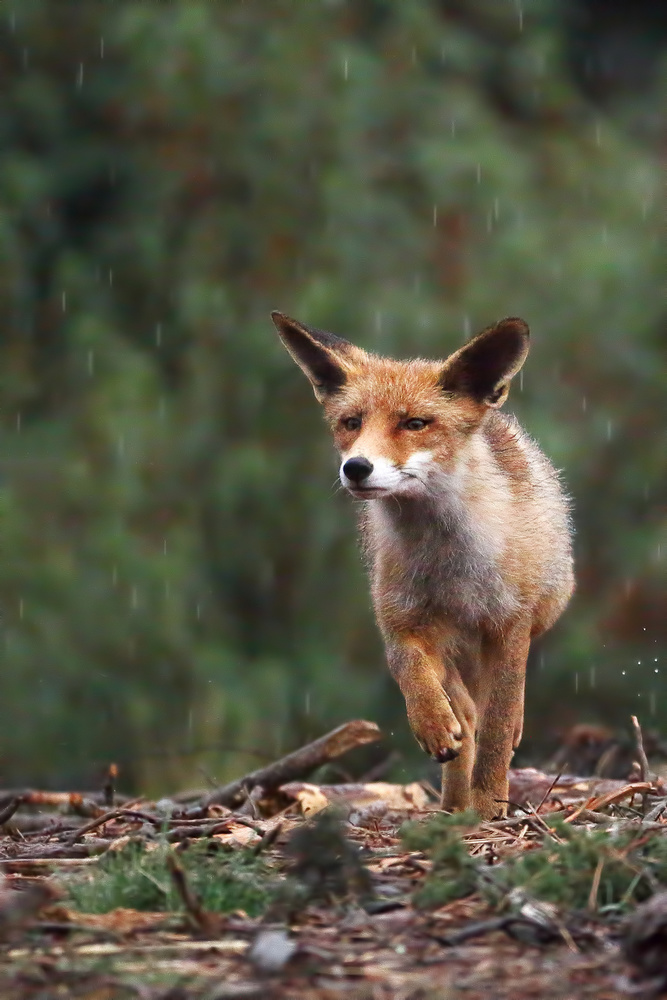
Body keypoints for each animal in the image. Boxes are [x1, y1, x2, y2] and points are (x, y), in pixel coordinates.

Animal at [271, 311, 574, 819]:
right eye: (351, 422)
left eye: (415, 423)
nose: (356, 467)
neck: (446, 561)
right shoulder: (401, 619)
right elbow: (410, 671)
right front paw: (432, 724)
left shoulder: (508, 624)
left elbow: (497, 726)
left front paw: (489, 807)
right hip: (449, 643)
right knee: (465, 712)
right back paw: (452, 803)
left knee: (495, 711)